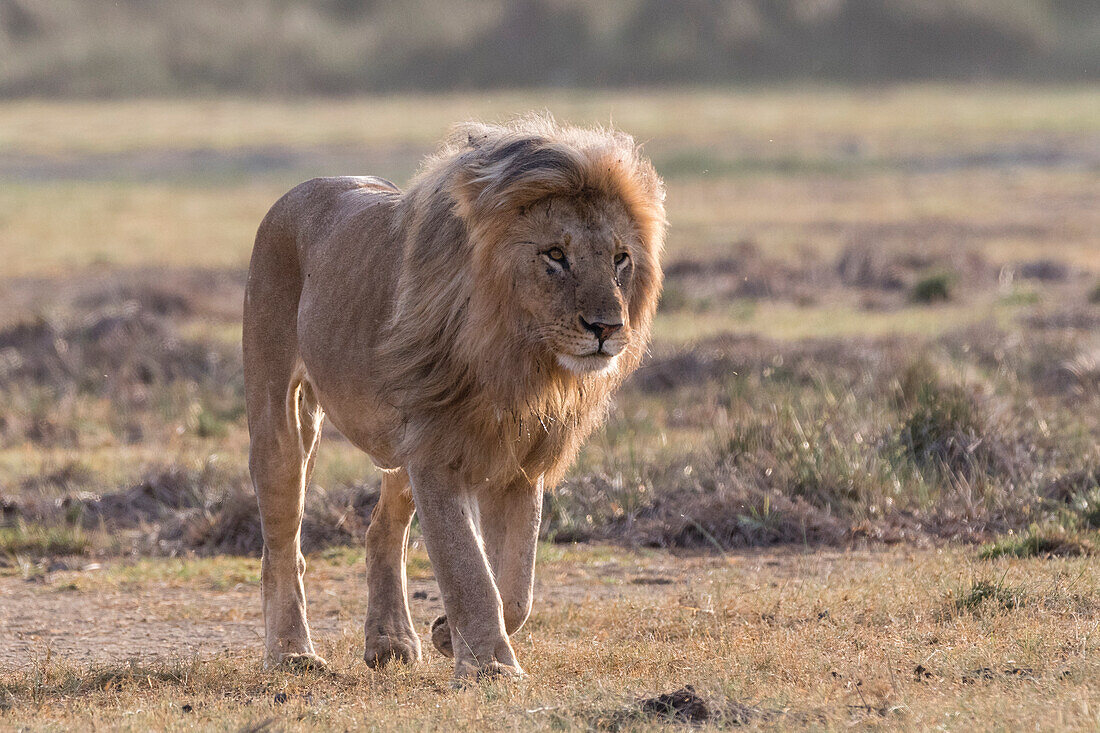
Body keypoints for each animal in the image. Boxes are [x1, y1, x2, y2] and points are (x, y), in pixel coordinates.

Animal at [245, 114, 664, 677]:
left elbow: (516, 586)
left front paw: (449, 634)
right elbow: (468, 569)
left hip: (398, 440)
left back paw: (390, 640)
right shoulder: (437, 450)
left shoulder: (518, 463)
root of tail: (303, 188)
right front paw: (491, 666)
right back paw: (292, 652)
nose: (608, 328)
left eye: (620, 259)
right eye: (555, 255)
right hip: (280, 415)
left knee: (381, 529)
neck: (517, 359)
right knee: (282, 542)